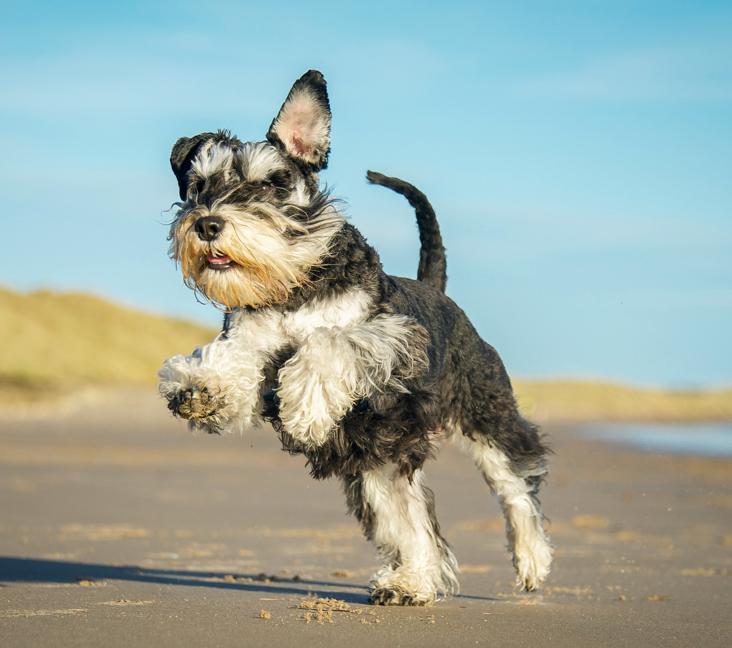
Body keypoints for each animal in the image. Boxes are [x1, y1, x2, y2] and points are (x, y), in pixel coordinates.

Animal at [157, 68, 552, 604]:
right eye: (198, 184)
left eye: (271, 184)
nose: (208, 224)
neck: (294, 285)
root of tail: (437, 289)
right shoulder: (254, 340)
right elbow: (234, 355)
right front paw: (201, 387)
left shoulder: (392, 338)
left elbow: (328, 342)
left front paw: (305, 407)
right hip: (378, 464)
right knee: (413, 523)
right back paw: (410, 582)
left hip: (483, 415)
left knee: (515, 484)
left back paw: (530, 561)